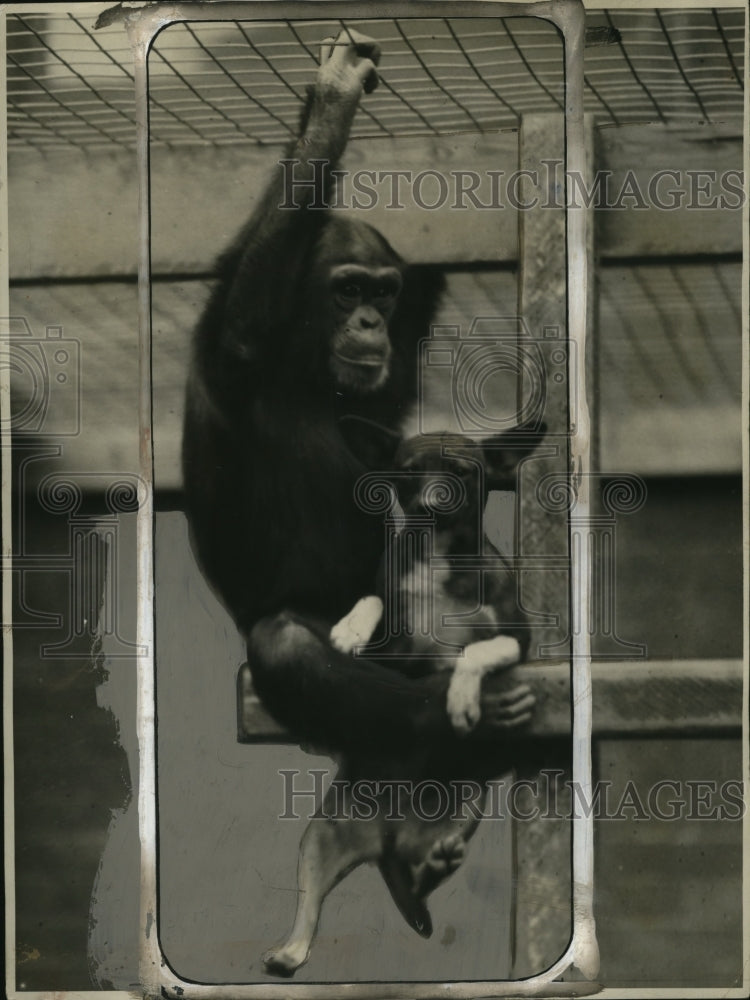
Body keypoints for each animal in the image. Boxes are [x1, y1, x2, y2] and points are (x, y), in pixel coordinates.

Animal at [262, 424, 544, 976]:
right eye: (408, 473)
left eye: (463, 472)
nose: (434, 499)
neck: (437, 562)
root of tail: (385, 841)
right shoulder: (394, 654)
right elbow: (374, 598)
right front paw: (349, 629)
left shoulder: (516, 640)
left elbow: (476, 649)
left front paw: (460, 696)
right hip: (318, 841)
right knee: (310, 906)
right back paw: (288, 952)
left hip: (464, 811)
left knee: (422, 878)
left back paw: (433, 863)